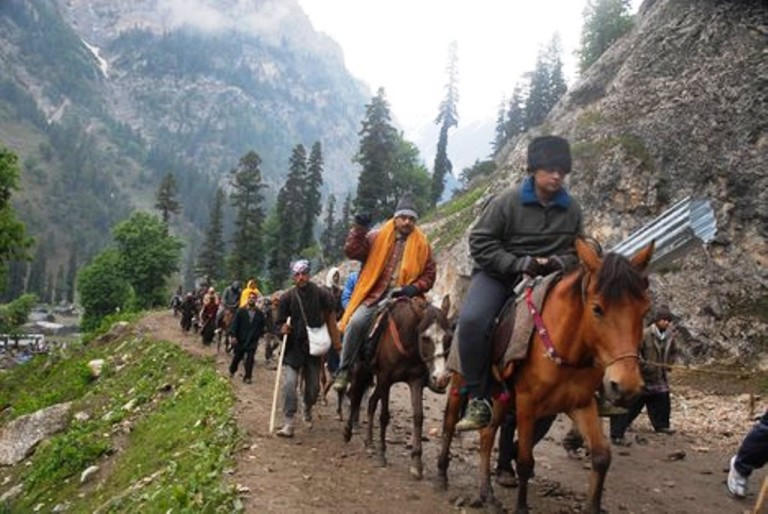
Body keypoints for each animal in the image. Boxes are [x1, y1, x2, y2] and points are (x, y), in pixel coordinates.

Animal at [344, 294, 456, 478]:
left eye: (448, 338)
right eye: (425, 338)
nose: (441, 378)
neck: (407, 343)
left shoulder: (415, 381)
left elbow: (418, 417)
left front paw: (416, 462)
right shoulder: (385, 378)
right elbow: (384, 416)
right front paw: (382, 454)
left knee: (371, 402)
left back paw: (369, 442)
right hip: (362, 369)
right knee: (355, 396)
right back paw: (347, 432)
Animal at [438, 238, 656, 510]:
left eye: (644, 309)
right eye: (597, 309)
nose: (625, 385)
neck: (567, 351)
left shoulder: (581, 404)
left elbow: (601, 457)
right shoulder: (527, 405)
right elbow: (524, 462)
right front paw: (521, 507)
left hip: (501, 396)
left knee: (487, 435)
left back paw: (487, 492)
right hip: (460, 380)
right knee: (450, 423)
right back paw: (441, 474)